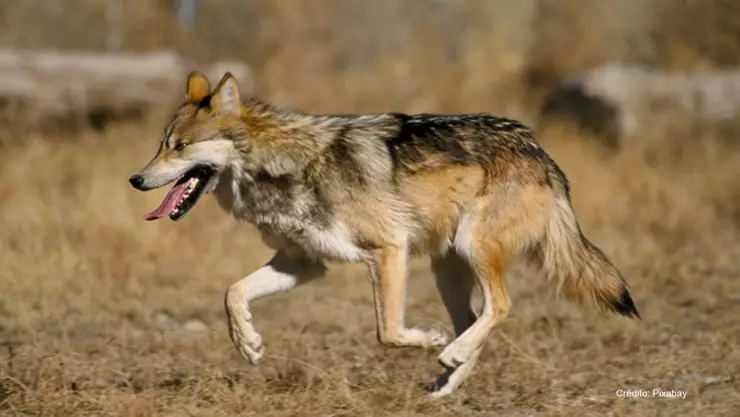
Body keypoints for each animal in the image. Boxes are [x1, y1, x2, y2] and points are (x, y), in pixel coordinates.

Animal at [128, 71, 640, 398]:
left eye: (180, 147)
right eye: (160, 145)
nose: (135, 179)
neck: (283, 165)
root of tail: (539, 150)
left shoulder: (387, 251)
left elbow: (388, 332)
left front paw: (428, 339)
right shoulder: (303, 263)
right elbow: (233, 293)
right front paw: (248, 343)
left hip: (472, 249)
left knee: (500, 306)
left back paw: (448, 353)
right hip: (447, 268)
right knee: (475, 318)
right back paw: (446, 382)